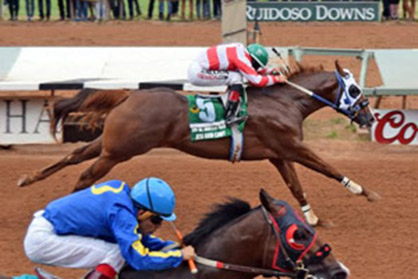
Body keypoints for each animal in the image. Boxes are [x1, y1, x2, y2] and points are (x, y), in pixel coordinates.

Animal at [18, 62, 380, 226]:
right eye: (355, 90)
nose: (369, 117)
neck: (286, 102)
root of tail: (128, 94)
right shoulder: (292, 148)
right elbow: (328, 168)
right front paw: (365, 191)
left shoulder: (279, 154)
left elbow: (296, 186)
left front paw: (313, 217)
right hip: (120, 150)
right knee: (86, 175)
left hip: (110, 144)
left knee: (74, 156)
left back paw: (27, 178)